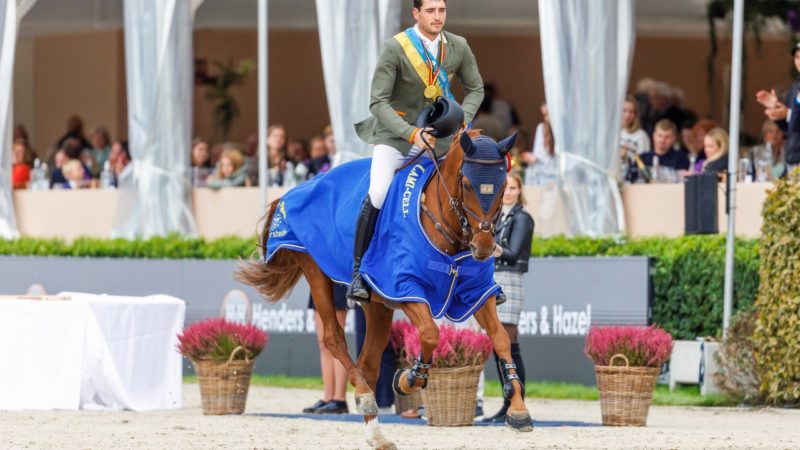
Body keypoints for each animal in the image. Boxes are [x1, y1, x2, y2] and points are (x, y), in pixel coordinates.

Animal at [236, 129, 532, 446]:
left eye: (504, 185)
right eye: (466, 183)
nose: (485, 247)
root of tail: (294, 191)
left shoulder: (476, 292)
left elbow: (501, 338)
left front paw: (518, 410)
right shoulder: (404, 286)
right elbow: (430, 333)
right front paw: (409, 379)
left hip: (377, 304)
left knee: (368, 362)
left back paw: (375, 432)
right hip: (316, 270)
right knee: (333, 339)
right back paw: (365, 397)